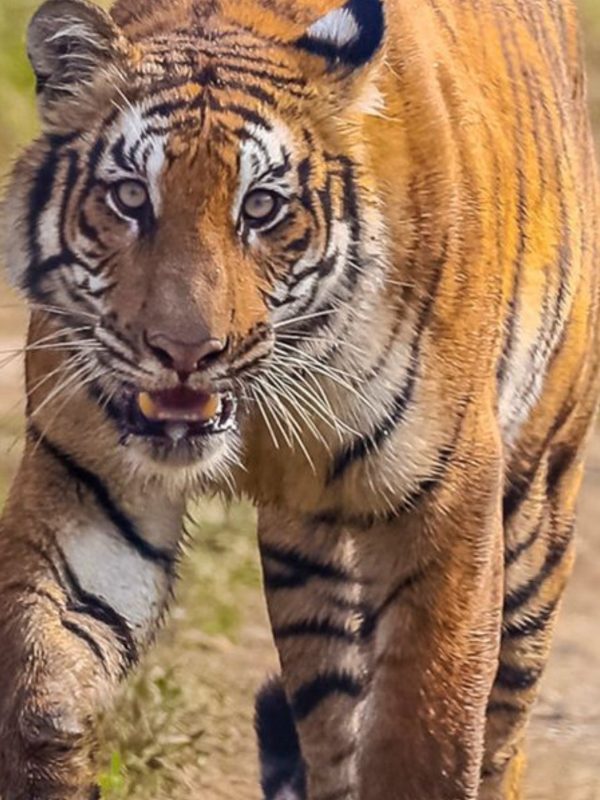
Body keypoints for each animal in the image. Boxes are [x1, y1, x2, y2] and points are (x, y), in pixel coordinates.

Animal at [0, 0, 598, 798]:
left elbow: (427, 734)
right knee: (334, 718)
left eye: (260, 207)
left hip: (537, 505)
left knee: (504, 726)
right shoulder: (88, 476)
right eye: (130, 198)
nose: (186, 352)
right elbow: (42, 684)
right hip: (309, 560)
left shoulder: (449, 500)